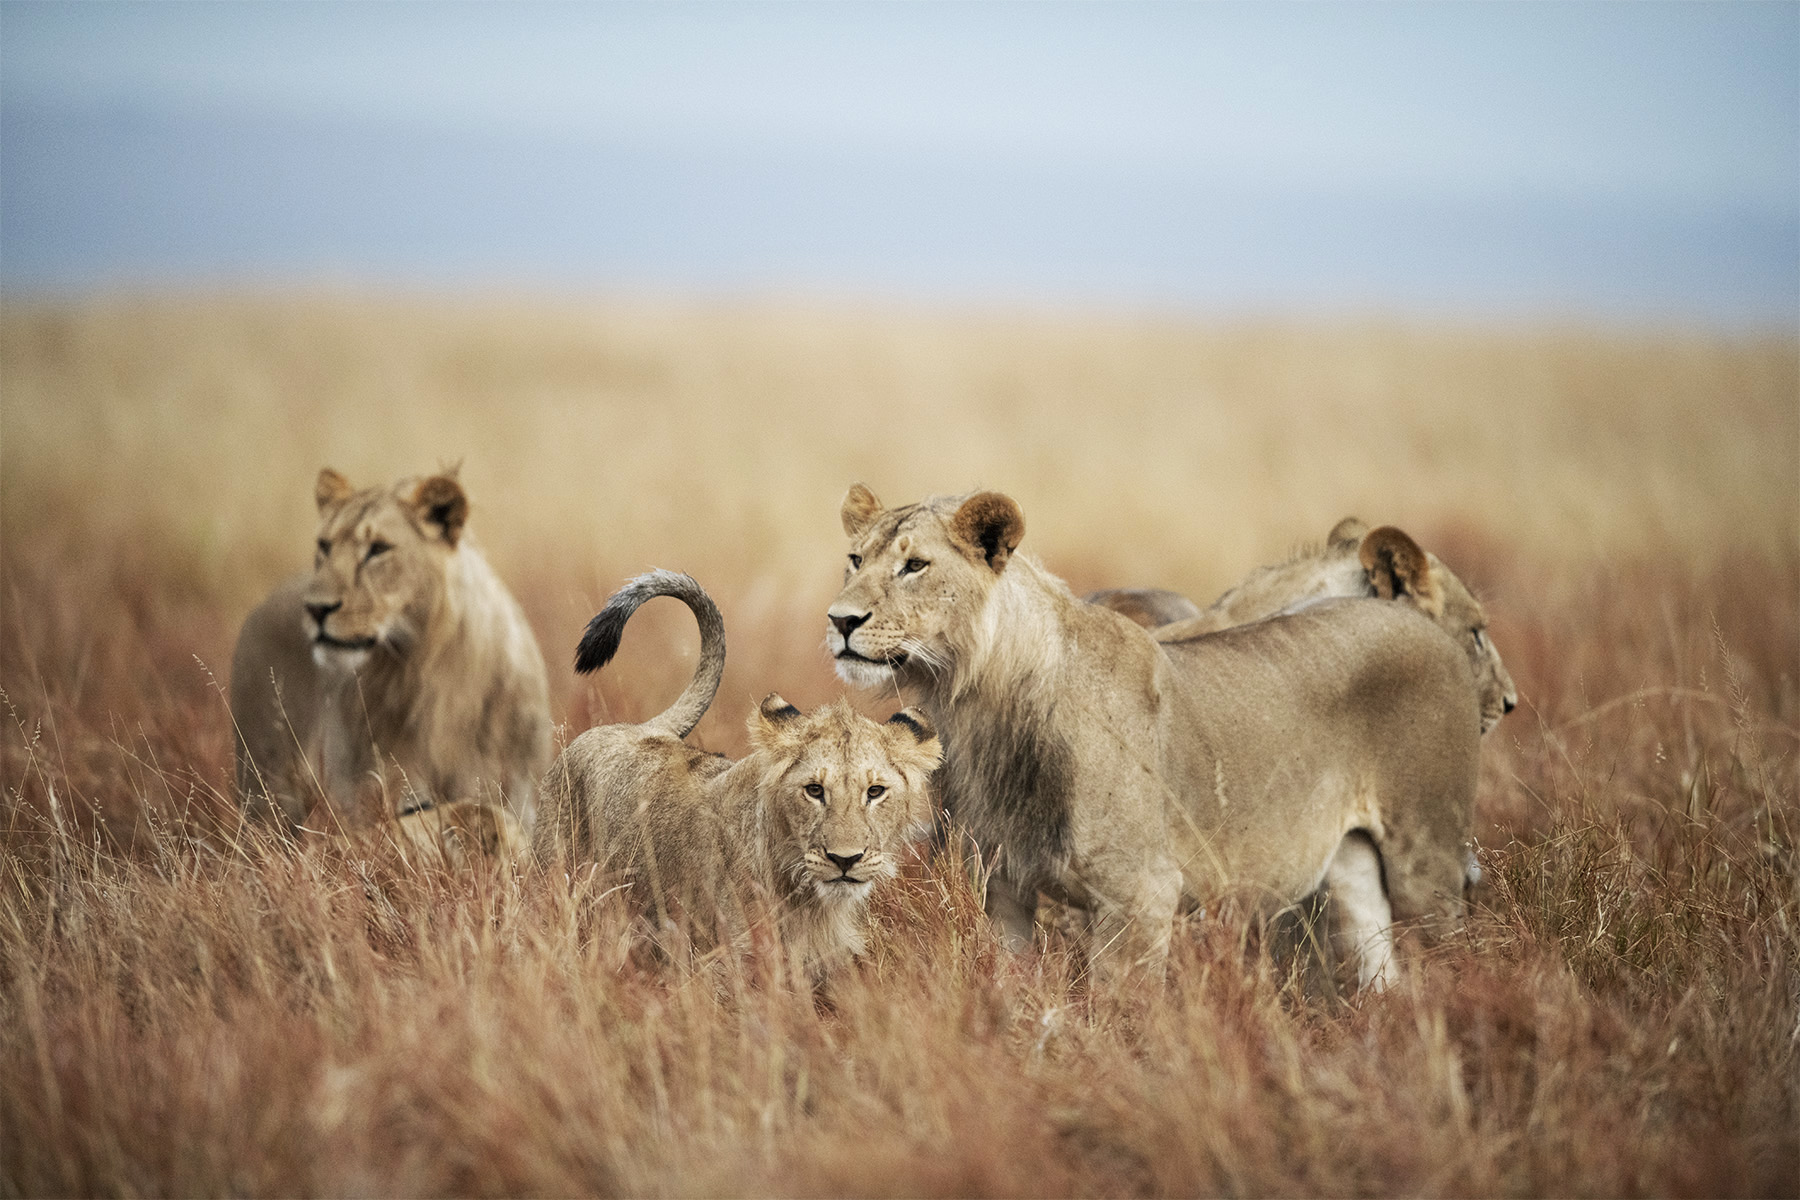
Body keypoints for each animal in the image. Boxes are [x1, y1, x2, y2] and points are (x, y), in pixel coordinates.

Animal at [232, 464, 554, 841]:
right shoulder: (386, 792)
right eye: (324, 546)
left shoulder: (515, 792)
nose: (315, 608)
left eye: (378, 549)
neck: (429, 666)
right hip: (265, 784)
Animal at [532, 572, 943, 978]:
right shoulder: (720, 967)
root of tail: (630, 728)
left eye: (875, 792)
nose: (846, 860)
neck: (811, 902)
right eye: (814, 790)